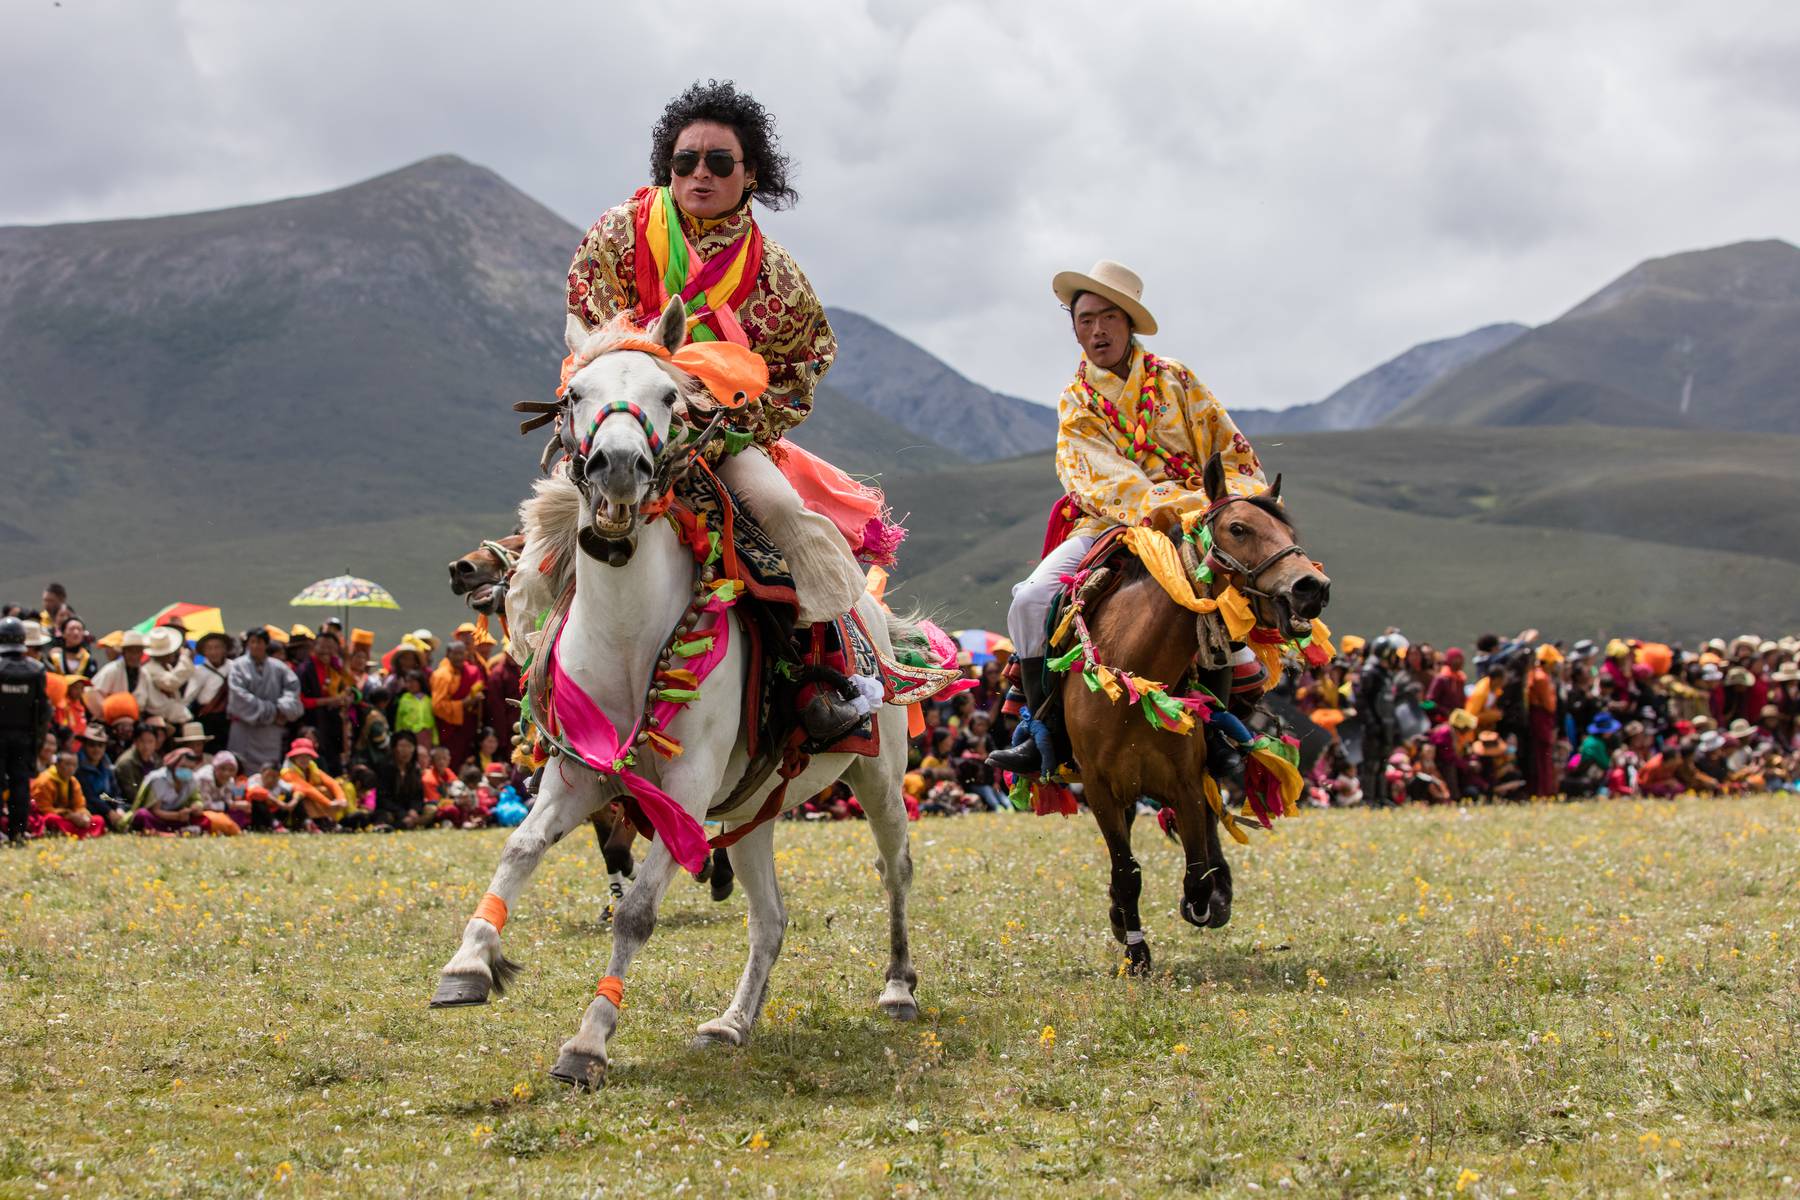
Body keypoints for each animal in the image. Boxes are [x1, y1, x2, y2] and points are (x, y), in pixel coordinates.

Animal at [428, 302, 921, 1086]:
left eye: (670, 396)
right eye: (574, 395)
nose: (618, 465)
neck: (630, 641)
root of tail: (872, 611)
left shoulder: (683, 793)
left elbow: (636, 913)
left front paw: (588, 1044)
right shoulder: (580, 776)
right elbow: (520, 849)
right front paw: (469, 965)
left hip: (879, 776)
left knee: (893, 869)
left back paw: (899, 987)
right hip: (751, 810)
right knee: (770, 918)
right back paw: (733, 1022)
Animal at [1058, 449, 1332, 978]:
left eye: (1289, 531)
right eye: (1238, 528)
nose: (1312, 586)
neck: (1136, 674)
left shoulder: (1185, 781)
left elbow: (1198, 870)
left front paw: (1206, 902)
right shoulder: (1100, 788)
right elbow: (1126, 871)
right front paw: (1136, 954)